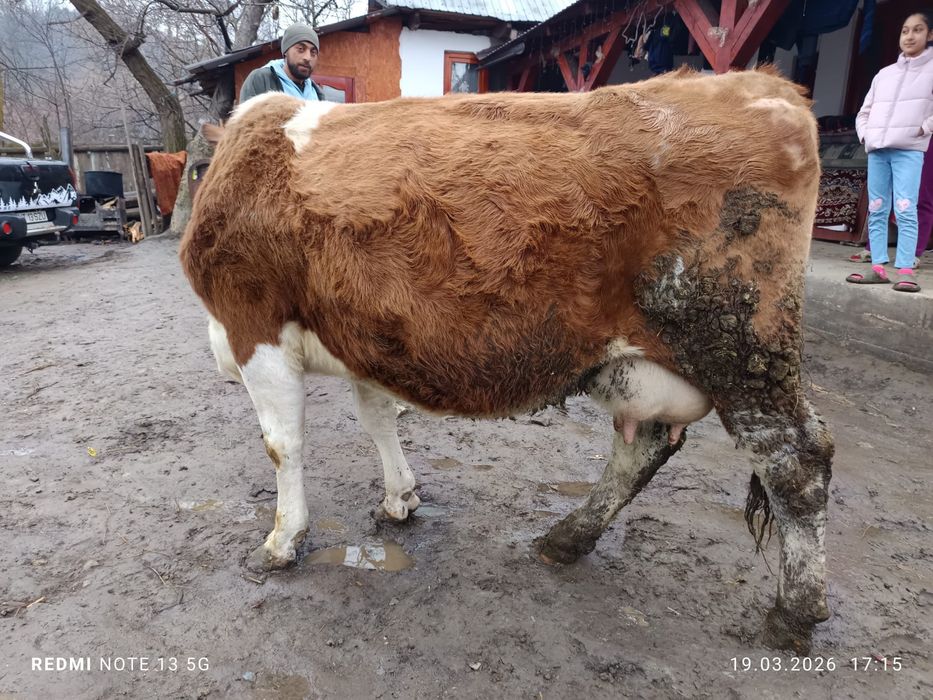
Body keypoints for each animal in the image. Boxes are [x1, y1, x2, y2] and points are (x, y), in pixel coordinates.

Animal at [179, 66, 833, 653]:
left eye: (190, 169)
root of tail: (767, 88)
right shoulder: (365, 335)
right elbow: (378, 419)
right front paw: (400, 498)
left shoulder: (253, 325)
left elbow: (282, 445)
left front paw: (282, 540)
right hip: (641, 361)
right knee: (642, 448)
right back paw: (567, 538)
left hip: (743, 351)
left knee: (797, 460)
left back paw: (795, 612)